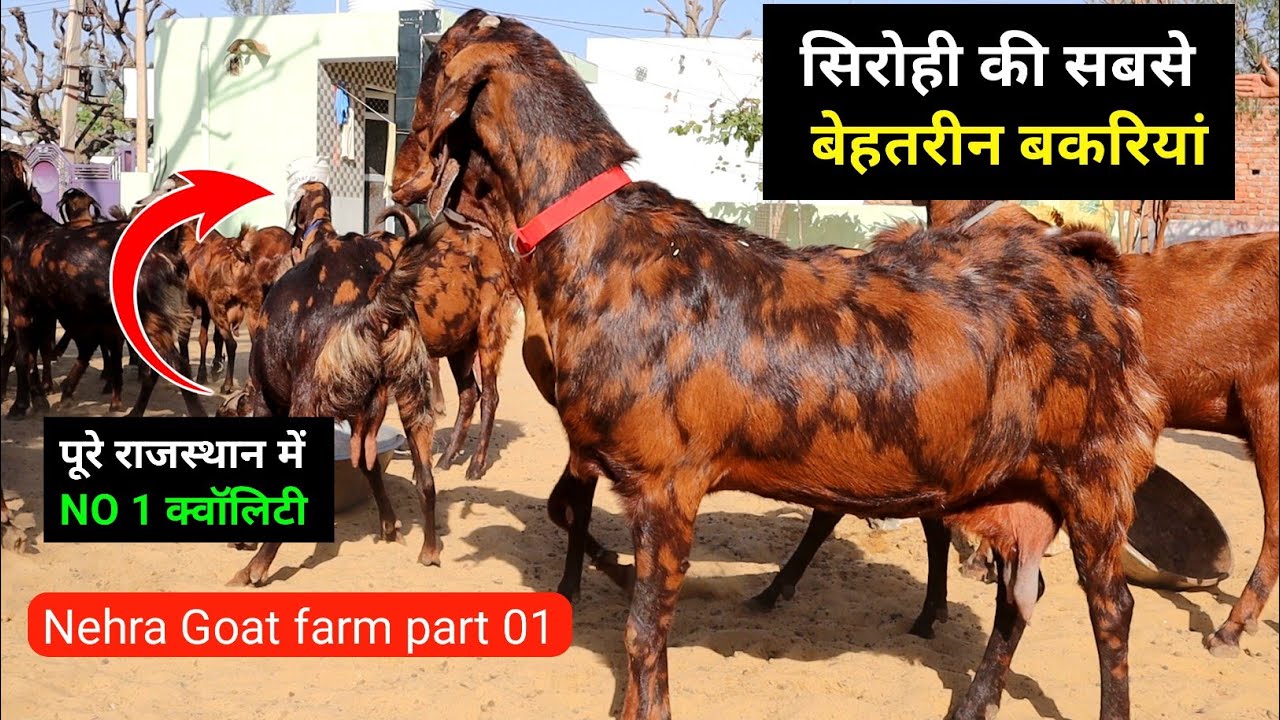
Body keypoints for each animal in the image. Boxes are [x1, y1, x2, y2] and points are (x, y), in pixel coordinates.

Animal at [391, 12, 1164, 720]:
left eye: (431, 65)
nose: (399, 182)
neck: (608, 249)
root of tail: (1096, 276)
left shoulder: (667, 483)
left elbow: (643, 635)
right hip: (1016, 488)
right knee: (1018, 599)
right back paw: (969, 702)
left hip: (1094, 475)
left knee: (1112, 608)